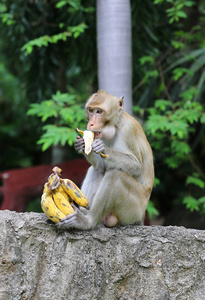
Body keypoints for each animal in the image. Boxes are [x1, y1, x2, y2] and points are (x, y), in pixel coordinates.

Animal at [56, 89, 155, 230]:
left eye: (99, 111)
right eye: (91, 110)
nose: (90, 123)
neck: (116, 125)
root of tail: (141, 217)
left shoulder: (128, 130)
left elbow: (137, 166)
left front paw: (103, 148)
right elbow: (101, 167)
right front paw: (81, 145)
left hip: (133, 209)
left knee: (116, 175)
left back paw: (88, 221)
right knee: (96, 170)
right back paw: (85, 212)